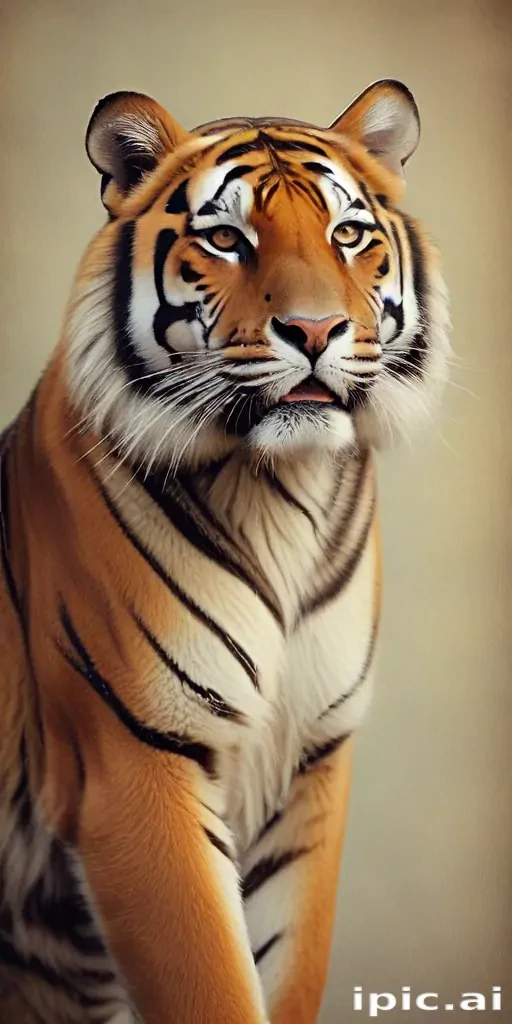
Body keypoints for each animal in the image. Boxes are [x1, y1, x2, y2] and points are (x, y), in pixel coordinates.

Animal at [0, 79, 449, 1023]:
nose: (315, 329)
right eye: (225, 239)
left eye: (346, 234)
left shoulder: (313, 760)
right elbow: (210, 980)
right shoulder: (135, 765)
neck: (281, 496)